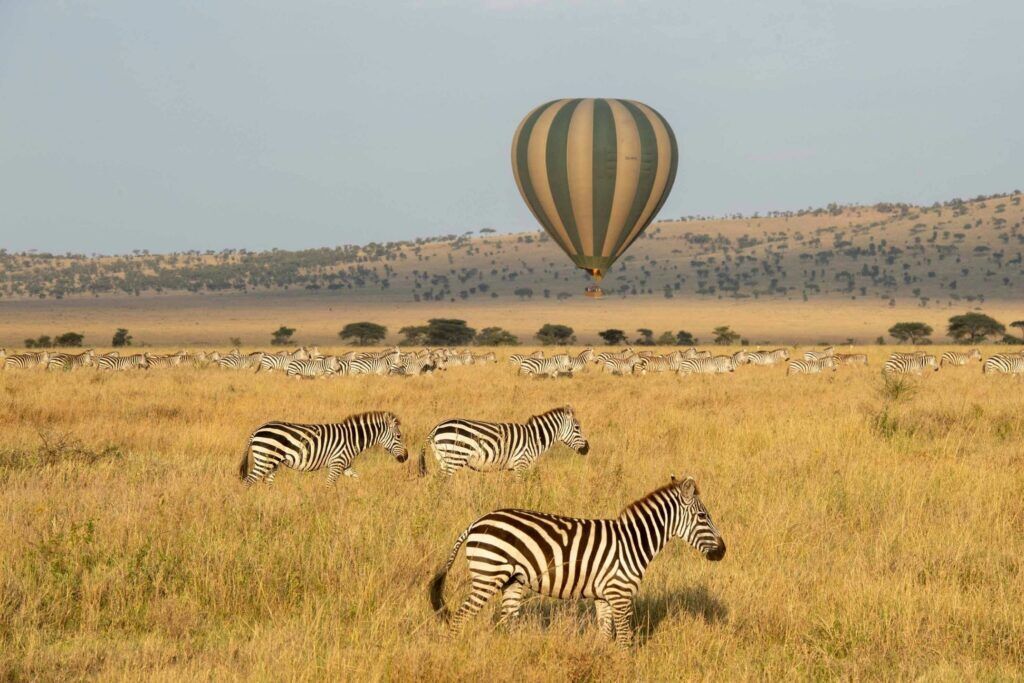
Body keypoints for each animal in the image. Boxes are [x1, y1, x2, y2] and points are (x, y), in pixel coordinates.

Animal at [236, 411, 407, 485]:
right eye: (399, 436)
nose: (406, 457)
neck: (353, 439)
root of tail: (257, 430)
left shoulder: (346, 466)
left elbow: (358, 478)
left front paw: (362, 494)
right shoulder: (336, 464)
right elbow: (329, 485)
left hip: (272, 463)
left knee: (268, 483)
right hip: (265, 460)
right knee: (248, 481)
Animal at [417, 405, 593, 481]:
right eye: (577, 428)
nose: (587, 449)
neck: (535, 438)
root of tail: (436, 428)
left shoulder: (514, 468)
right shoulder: (521, 464)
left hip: (444, 459)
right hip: (454, 458)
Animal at [428, 475, 724, 647]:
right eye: (703, 517)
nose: (722, 551)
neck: (633, 542)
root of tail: (476, 522)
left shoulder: (604, 596)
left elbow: (605, 635)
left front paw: (603, 663)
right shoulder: (620, 594)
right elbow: (624, 640)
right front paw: (624, 668)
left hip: (512, 580)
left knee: (506, 622)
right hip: (488, 575)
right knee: (461, 617)